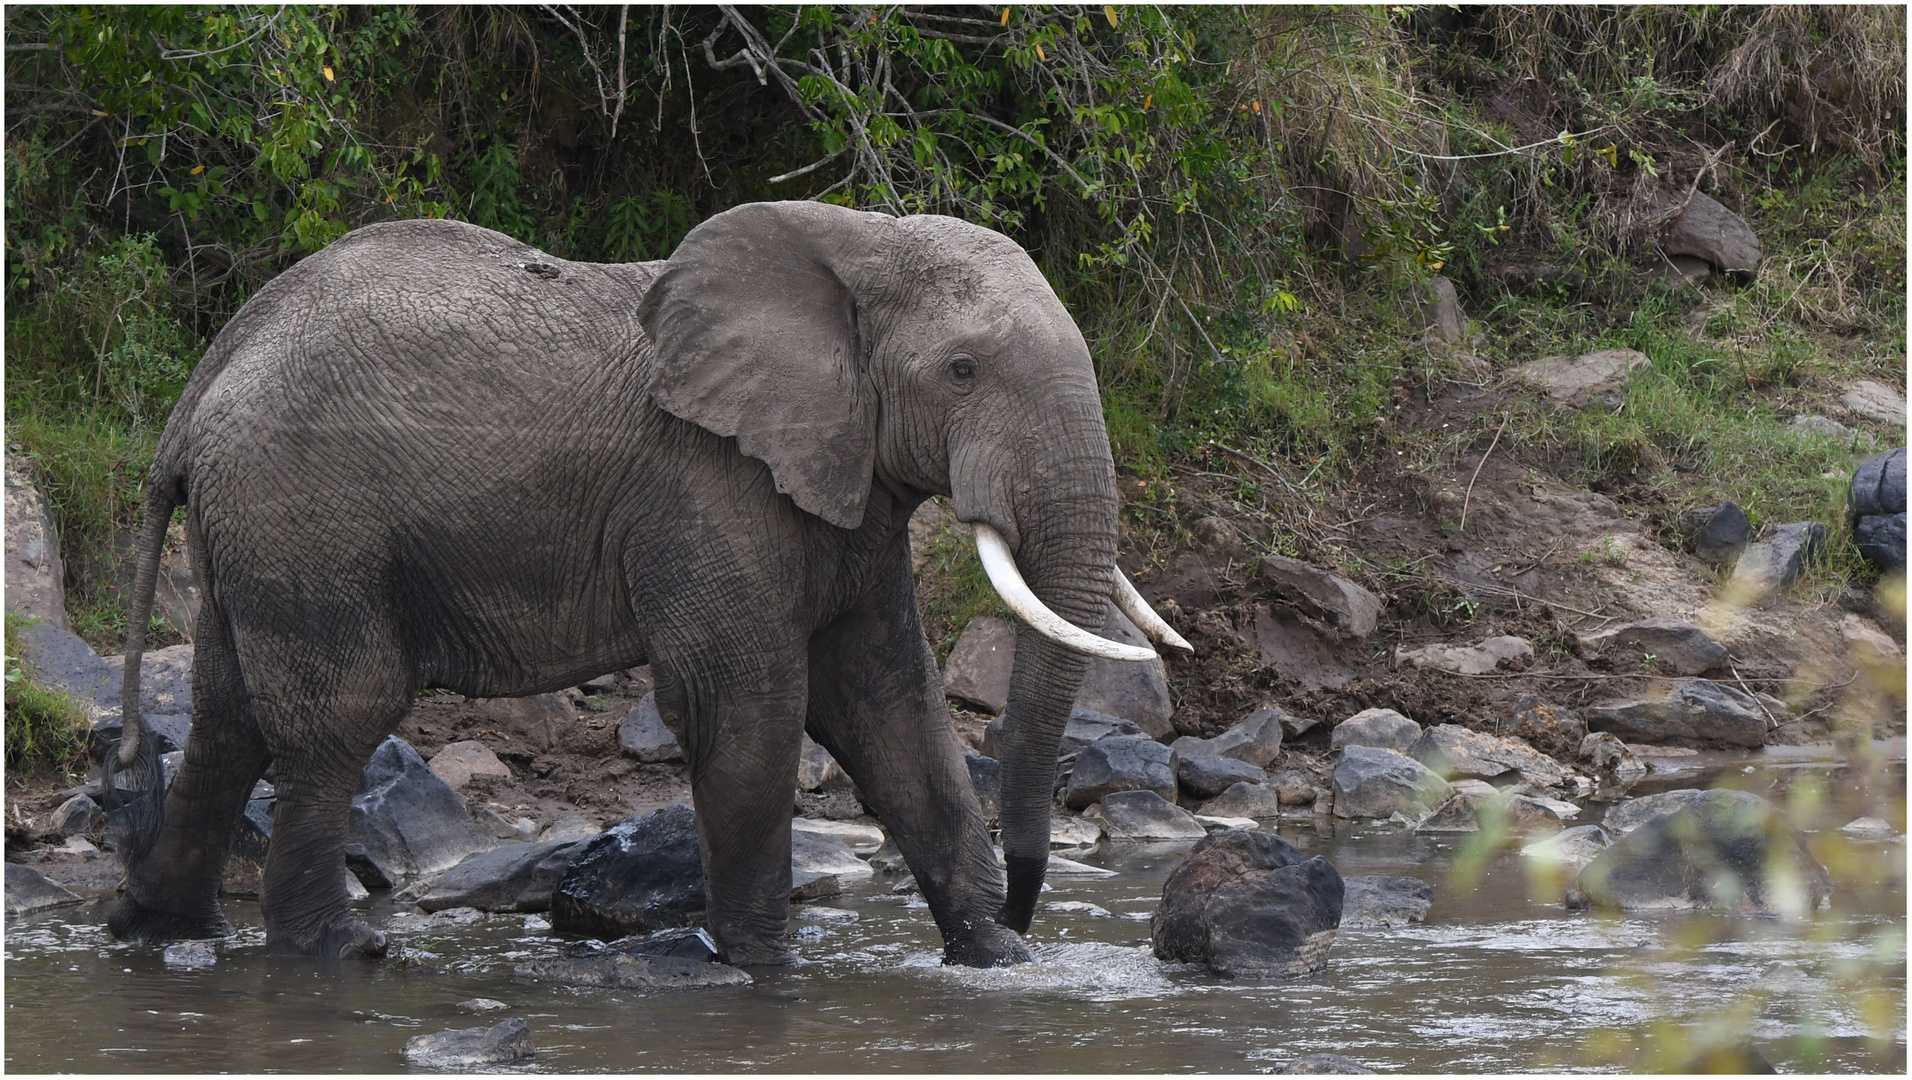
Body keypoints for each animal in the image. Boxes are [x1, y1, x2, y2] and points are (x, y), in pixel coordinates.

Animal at [104, 199, 1185, 959]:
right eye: (962, 371)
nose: (1026, 903)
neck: (856, 240)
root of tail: (203, 383)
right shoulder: (706, 487)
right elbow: (746, 706)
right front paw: (757, 967)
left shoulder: (849, 488)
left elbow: (887, 702)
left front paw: (996, 962)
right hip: (305, 518)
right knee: (335, 718)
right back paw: (336, 954)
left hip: (257, 531)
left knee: (228, 719)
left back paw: (164, 933)